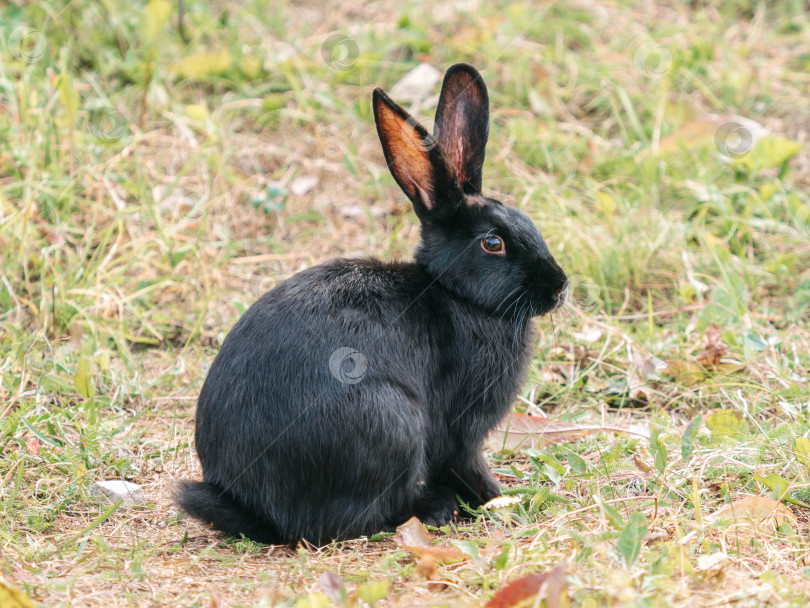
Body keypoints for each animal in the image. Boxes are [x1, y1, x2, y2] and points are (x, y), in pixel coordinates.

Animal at [177, 64, 568, 544]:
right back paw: (434, 508)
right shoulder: (461, 429)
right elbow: (464, 463)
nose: (559, 287)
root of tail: (261, 510)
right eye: (493, 243)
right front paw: (498, 499)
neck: (454, 293)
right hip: (392, 421)